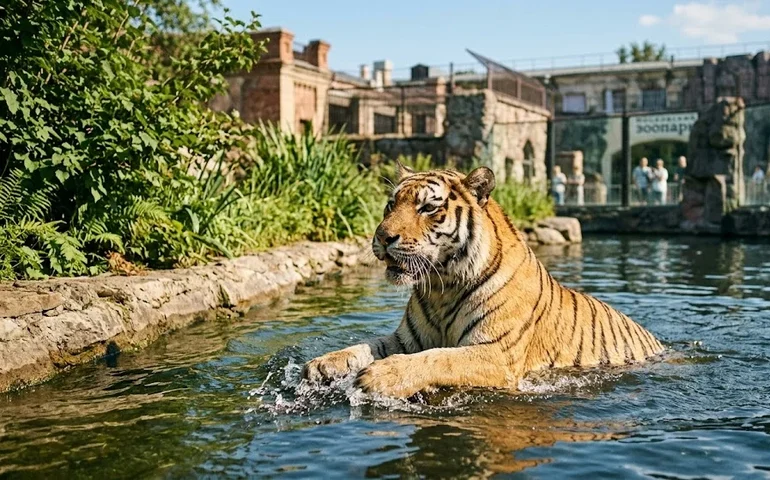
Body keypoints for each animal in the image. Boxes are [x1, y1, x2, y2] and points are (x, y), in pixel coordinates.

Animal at [303, 164, 664, 398]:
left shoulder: (496, 353)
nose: (381, 237)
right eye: (391, 204)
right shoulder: (407, 340)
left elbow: (441, 358)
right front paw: (322, 365)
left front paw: (380, 376)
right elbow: (367, 346)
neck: (442, 286)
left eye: (428, 207)